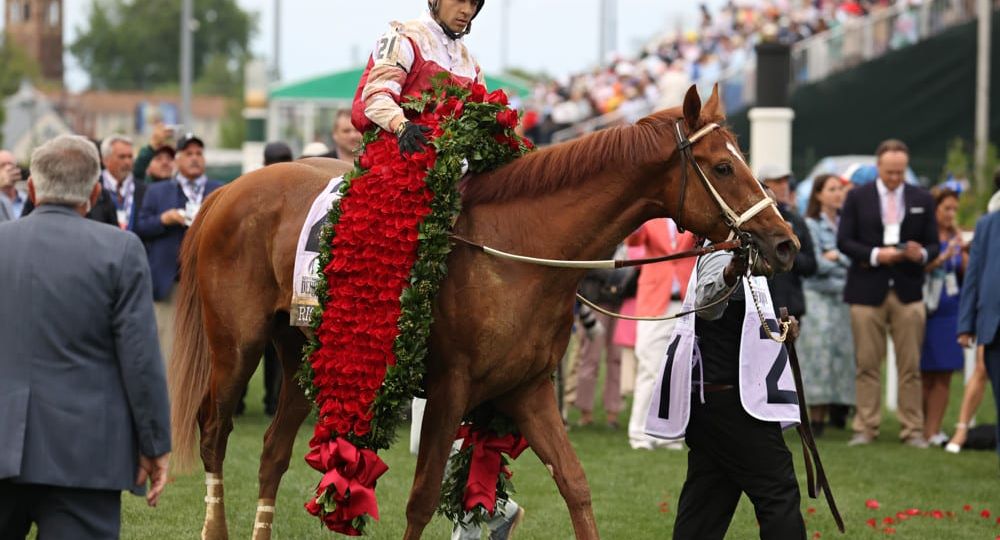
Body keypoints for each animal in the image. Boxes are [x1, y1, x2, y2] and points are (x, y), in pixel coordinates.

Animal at [170, 86, 796, 536]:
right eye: (722, 167)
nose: (784, 242)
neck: (519, 249)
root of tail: (227, 191)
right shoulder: (450, 388)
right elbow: (421, 499)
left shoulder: (528, 389)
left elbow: (576, 485)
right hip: (236, 347)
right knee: (214, 433)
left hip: (305, 355)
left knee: (272, 452)